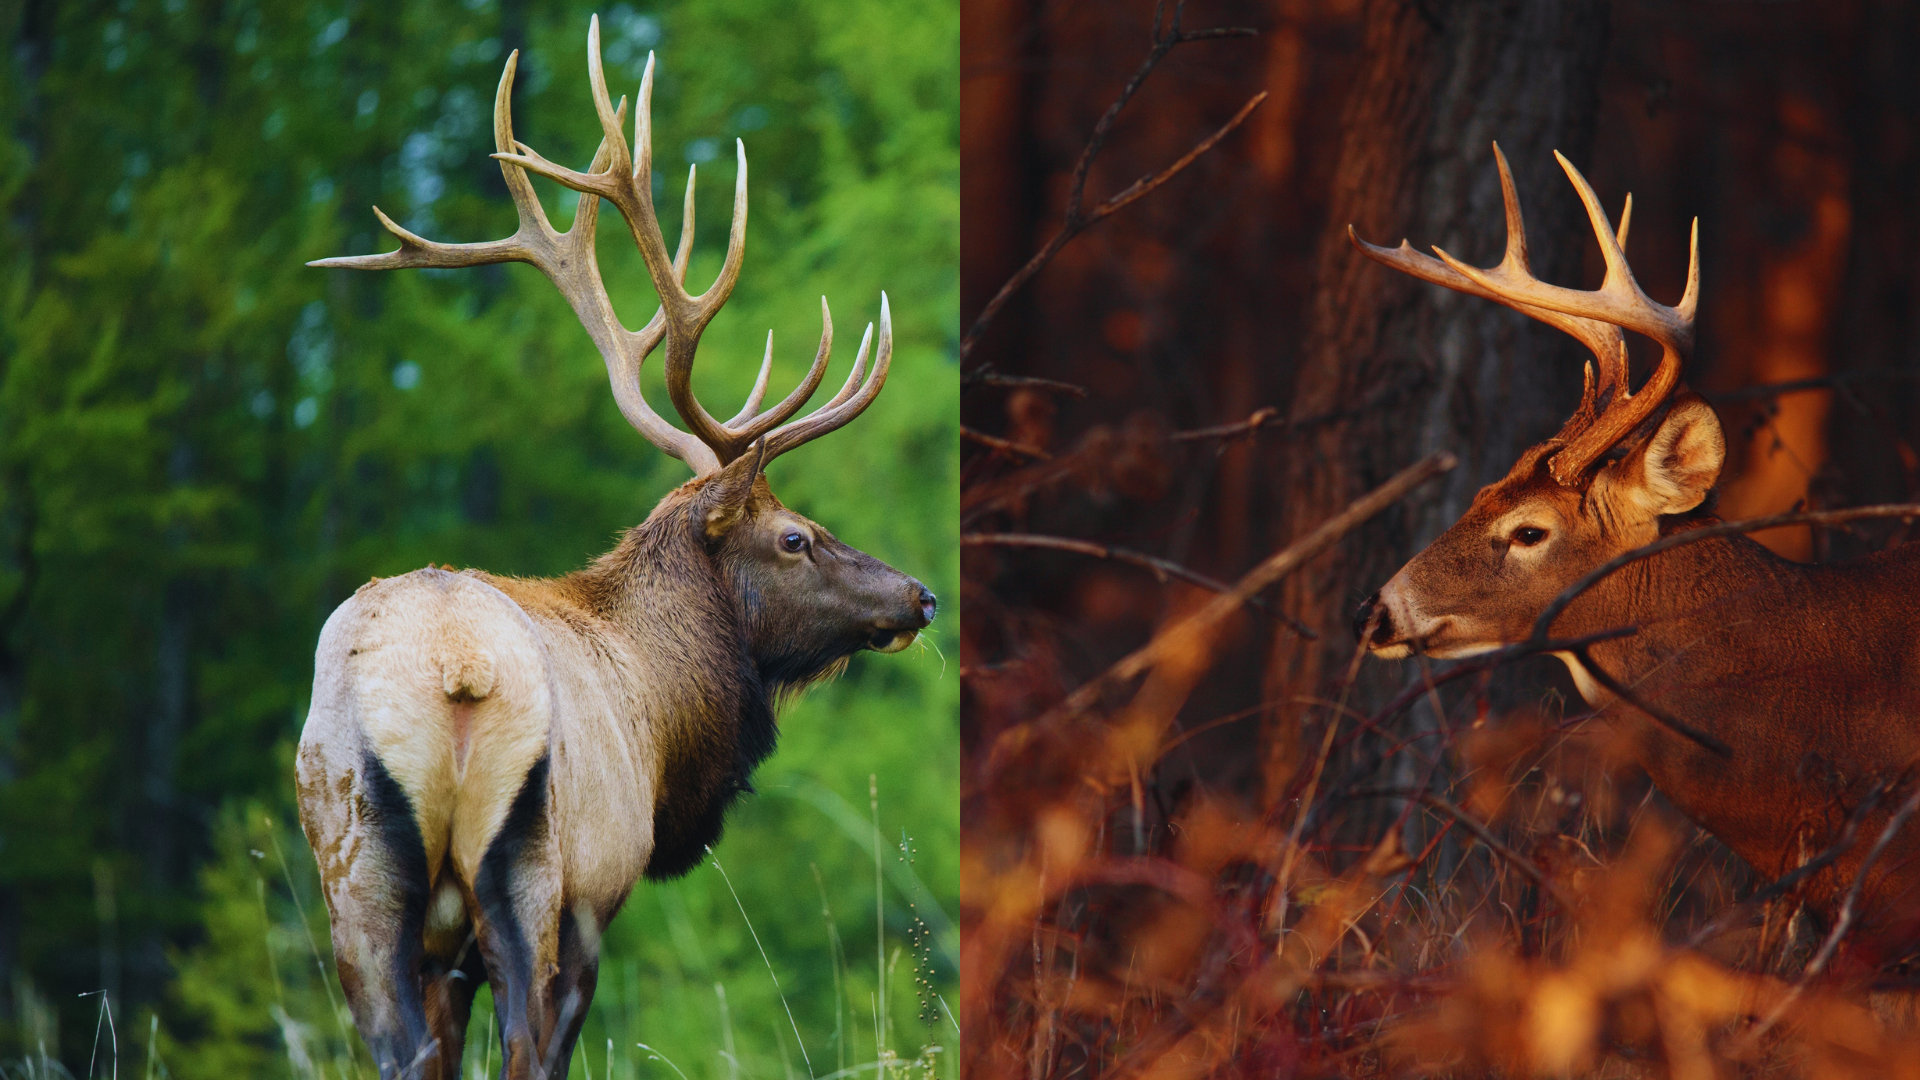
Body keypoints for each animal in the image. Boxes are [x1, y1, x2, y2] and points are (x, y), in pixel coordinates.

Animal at [291, 18, 936, 1076]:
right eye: (796, 536)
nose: (920, 595)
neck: (665, 714)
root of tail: (452, 672)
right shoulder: (602, 891)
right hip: (532, 867)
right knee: (521, 1041)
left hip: (352, 866)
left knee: (397, 1045)